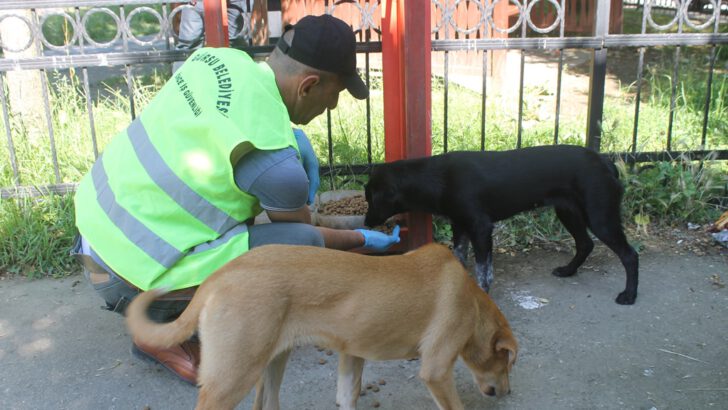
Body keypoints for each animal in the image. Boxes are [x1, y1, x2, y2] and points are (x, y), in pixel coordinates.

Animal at [125, 243, 516, 410]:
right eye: (508, 363)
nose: (507, 392)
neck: (472, 300)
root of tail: (219, 274)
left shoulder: (352, 354)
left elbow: (348, 396)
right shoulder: (436, 370)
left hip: (271, 363)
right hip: (231, 379)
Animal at [364, 144, 636, 304]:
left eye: (370, 198)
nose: (365, 221)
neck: (439, 177)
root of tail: (606, 162)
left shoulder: (481, 228)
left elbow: (484, 273)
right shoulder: (460, 227)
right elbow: (460, 261)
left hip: (600, 217)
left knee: (629, 254)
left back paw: (629, 295)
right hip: (568, 212)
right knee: (585, 244)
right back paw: (568, 271)